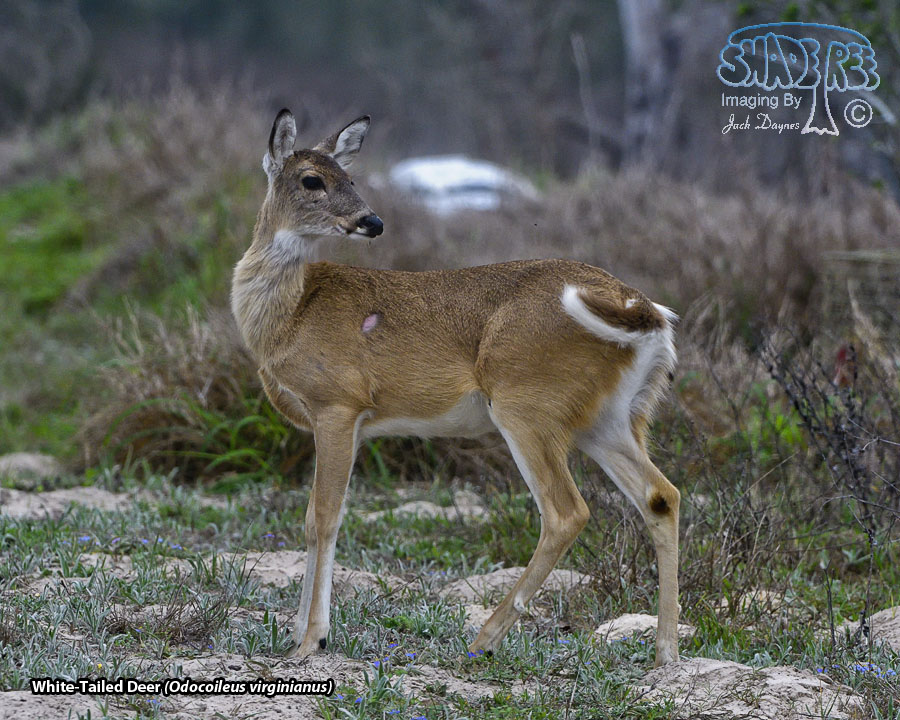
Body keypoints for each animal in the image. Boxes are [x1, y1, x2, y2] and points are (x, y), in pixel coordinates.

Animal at [231, 109, 682, 666]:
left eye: (349, 178)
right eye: (313, 179)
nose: (373, 222)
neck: (291, 313)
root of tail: (645, 311)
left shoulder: (338, 403)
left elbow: (325, 517)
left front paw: (311, 640)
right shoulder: (335, 420)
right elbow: (313, 519)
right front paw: (298, 634)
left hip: (525, 403)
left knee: (566, 511)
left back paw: (483, 640)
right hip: (613, 418)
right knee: (660, 495)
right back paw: (666, 653)